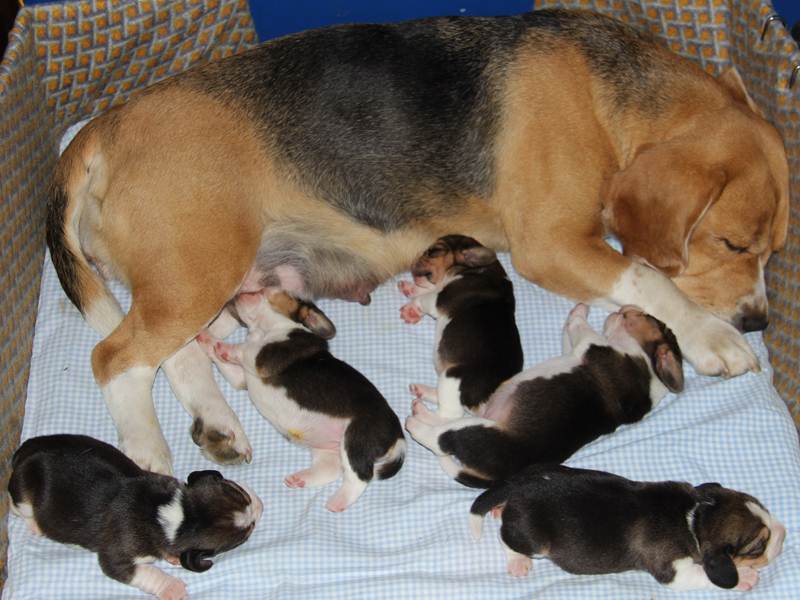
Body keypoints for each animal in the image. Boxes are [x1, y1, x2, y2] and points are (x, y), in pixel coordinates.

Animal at [8, 434, 262, 600]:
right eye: (246, 533)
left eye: (236, 489)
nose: (259, 505)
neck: (179, 514)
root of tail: (24, 449)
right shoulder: (117, 556)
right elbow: (142, 572)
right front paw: (173, 588)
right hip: (22, 490)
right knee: (16, 506)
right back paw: (35, 526)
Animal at [197, 290, 406, 512]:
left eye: (266, 291)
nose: (239, 293)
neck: (264, 329)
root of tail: (399, 435)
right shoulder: (242, 379)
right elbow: (224, 360)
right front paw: (206, 338)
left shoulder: (264, 355)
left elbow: (246, 349)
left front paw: (223, 346)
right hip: (328, 449)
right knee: (331, 469)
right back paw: (301, 479)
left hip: (356, 438)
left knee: (360, 477)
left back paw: (337, 502)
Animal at [398, 234, 523, 418]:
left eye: (433, 251)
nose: (415, 259)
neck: (476, 269)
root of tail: (485, 401)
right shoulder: (440, 289)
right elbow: (428, 288)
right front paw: (411, 288)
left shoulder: (440, 298)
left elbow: (425, 297)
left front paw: (412, 308)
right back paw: (422, 391)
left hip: (453, 377)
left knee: (448, 416)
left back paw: (420, 414)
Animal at [405, 303, 682, 487]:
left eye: (647, 317)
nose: (626, 307)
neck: (647, 365)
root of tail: (496, 477)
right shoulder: (571, 350)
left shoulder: (591, 346)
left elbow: (582, 328)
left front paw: (581, 310)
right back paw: (422, 399)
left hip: (476, 430)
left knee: (440, 436)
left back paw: (416, 421)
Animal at [469, 464, 785, 591]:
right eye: (758, 546)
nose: (783, 533)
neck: (694, 518)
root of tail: (520, 484)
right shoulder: (676, 571)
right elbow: (704, 575)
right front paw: (745, 578)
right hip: (532, 538)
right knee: (507, 538)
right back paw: (518, 561)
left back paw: (498, 508)